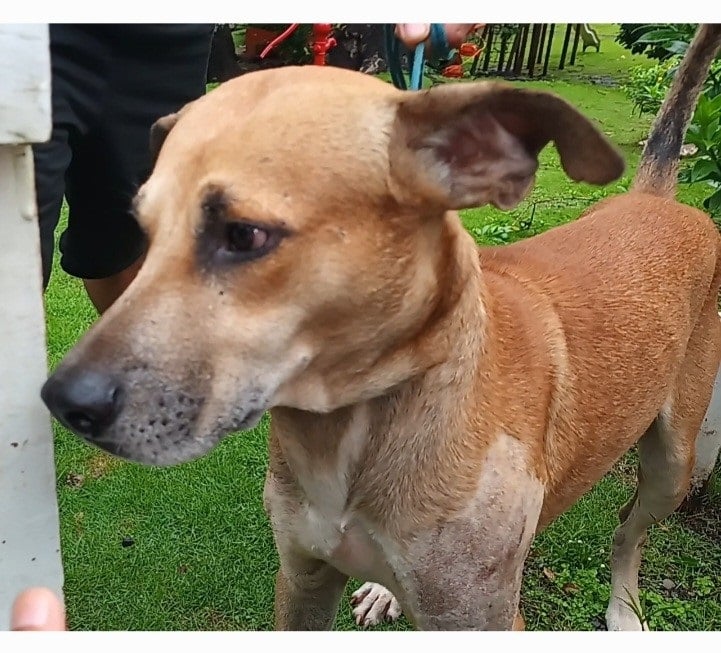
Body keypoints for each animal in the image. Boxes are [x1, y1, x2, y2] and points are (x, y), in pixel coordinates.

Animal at [40, 24, 720, 628]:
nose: (62, 402)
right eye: (144, 234)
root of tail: (655, 197)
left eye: (244, 235)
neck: (351, 428)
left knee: (630, 528)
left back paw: (624, 612)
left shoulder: (478, 616)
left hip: (674, 465)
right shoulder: (302, 581)